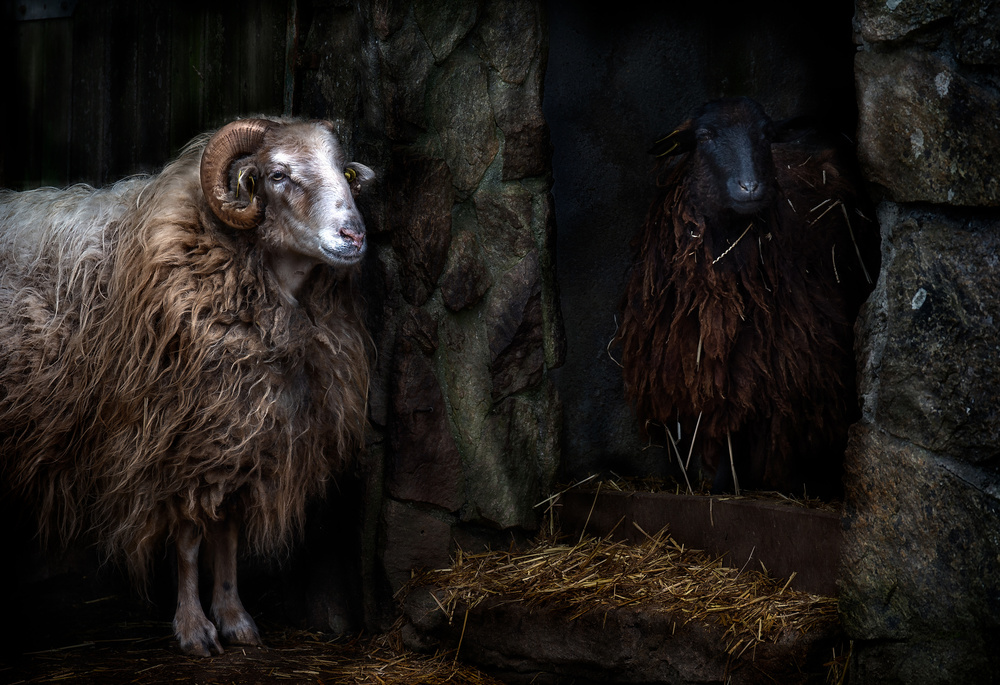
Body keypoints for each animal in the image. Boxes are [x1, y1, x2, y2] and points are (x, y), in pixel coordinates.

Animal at [0, 118, 375, 656]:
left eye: (344, 171)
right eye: (278, 175)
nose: (354, 235)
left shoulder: (238, 435)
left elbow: (228, 534)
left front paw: (235, 617)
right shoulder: (176, 442)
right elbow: (190, 541)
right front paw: (195, 628)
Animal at [616, 97, 877, 497]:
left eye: (767, 135)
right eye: (705, 135)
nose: (750, 187)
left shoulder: (765, 362)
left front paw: (730, 485)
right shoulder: (695, 360)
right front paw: (712, 485)